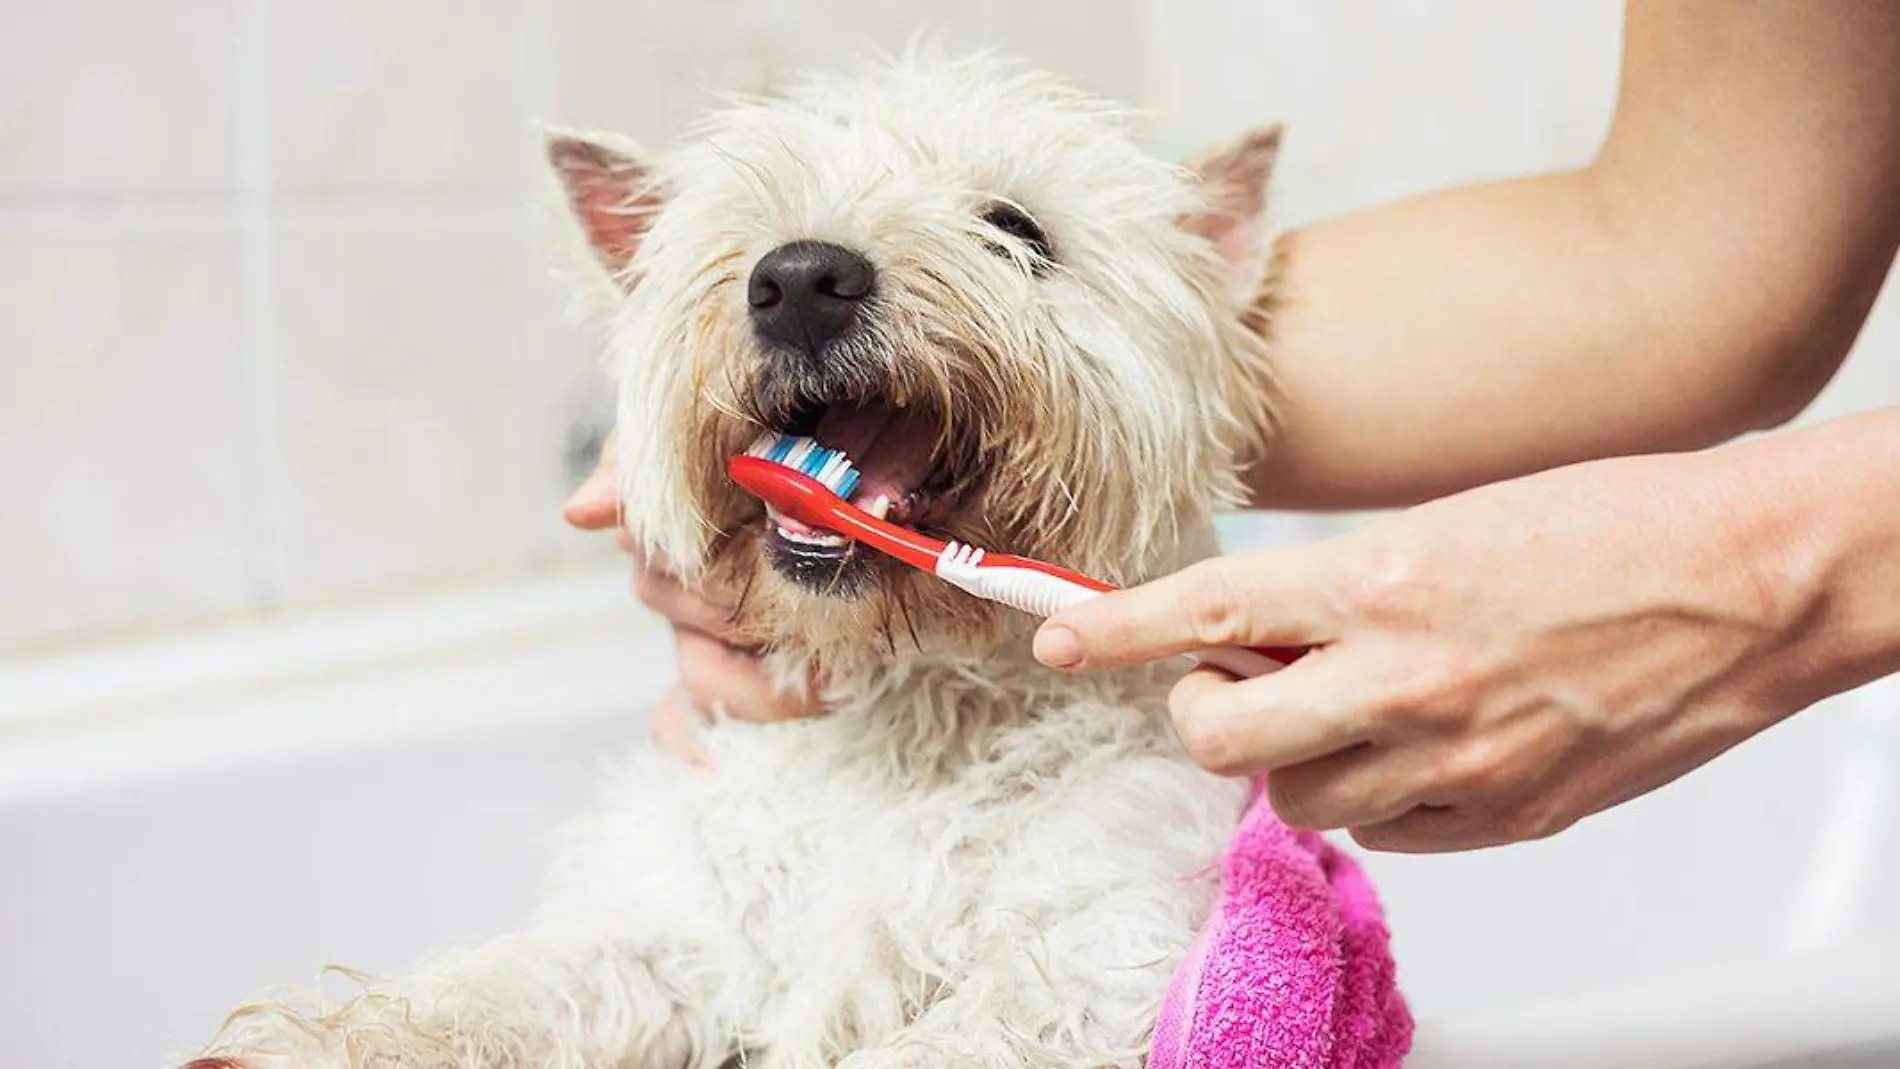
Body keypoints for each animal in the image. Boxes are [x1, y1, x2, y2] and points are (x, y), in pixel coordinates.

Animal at [192, 50, 1284, 1069]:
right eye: (748, 221)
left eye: (1018, 230)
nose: (800, 279)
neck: (906, 709)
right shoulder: (676, 930)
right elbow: (511, 988)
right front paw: (294, 1042)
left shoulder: (1089, 947)